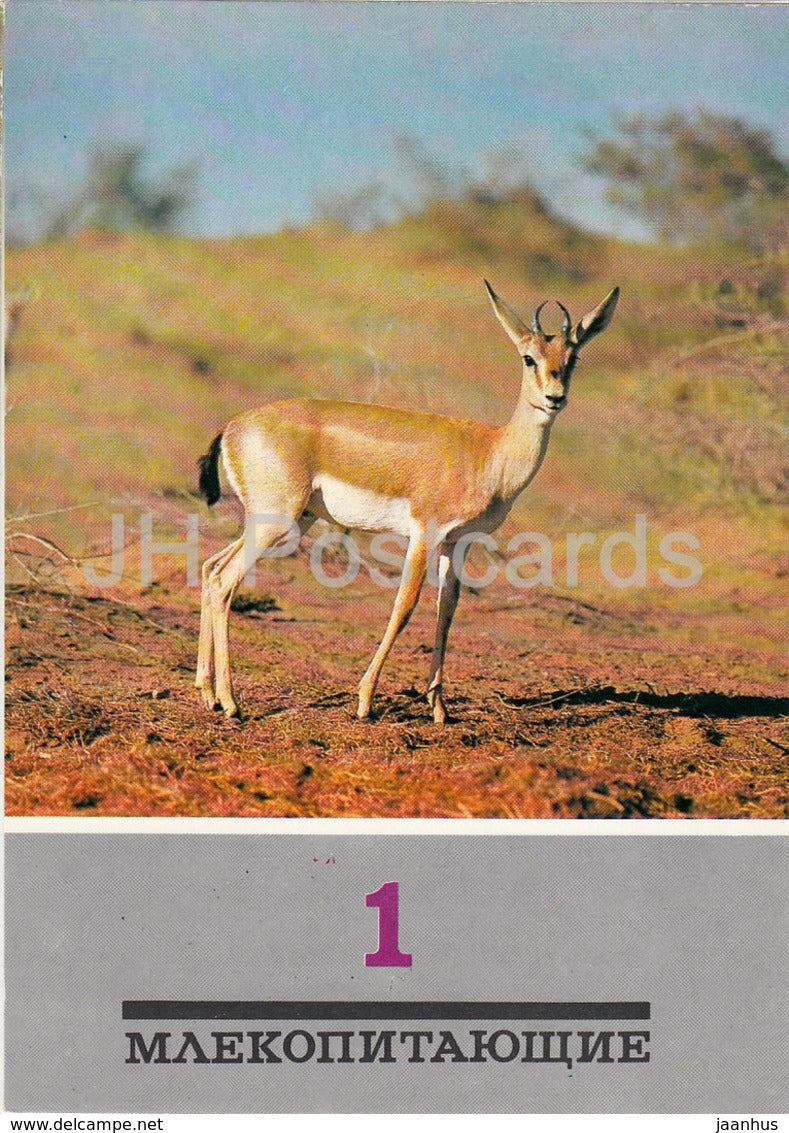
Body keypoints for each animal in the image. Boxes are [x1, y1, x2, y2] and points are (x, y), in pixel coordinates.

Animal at [196, 281, 619, 722]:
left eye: (573, 357)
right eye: (529, 357)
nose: (555, 398)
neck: (490, 452)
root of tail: (233, 426)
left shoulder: (458, 542)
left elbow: (446, 610)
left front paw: (440, 709)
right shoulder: (423, 534)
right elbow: (405, 606)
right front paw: (365, 701)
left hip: (289, 521)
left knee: (210, 568)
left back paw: (208, 693)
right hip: (276, 522)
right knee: (225, 579)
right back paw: (231, 703)